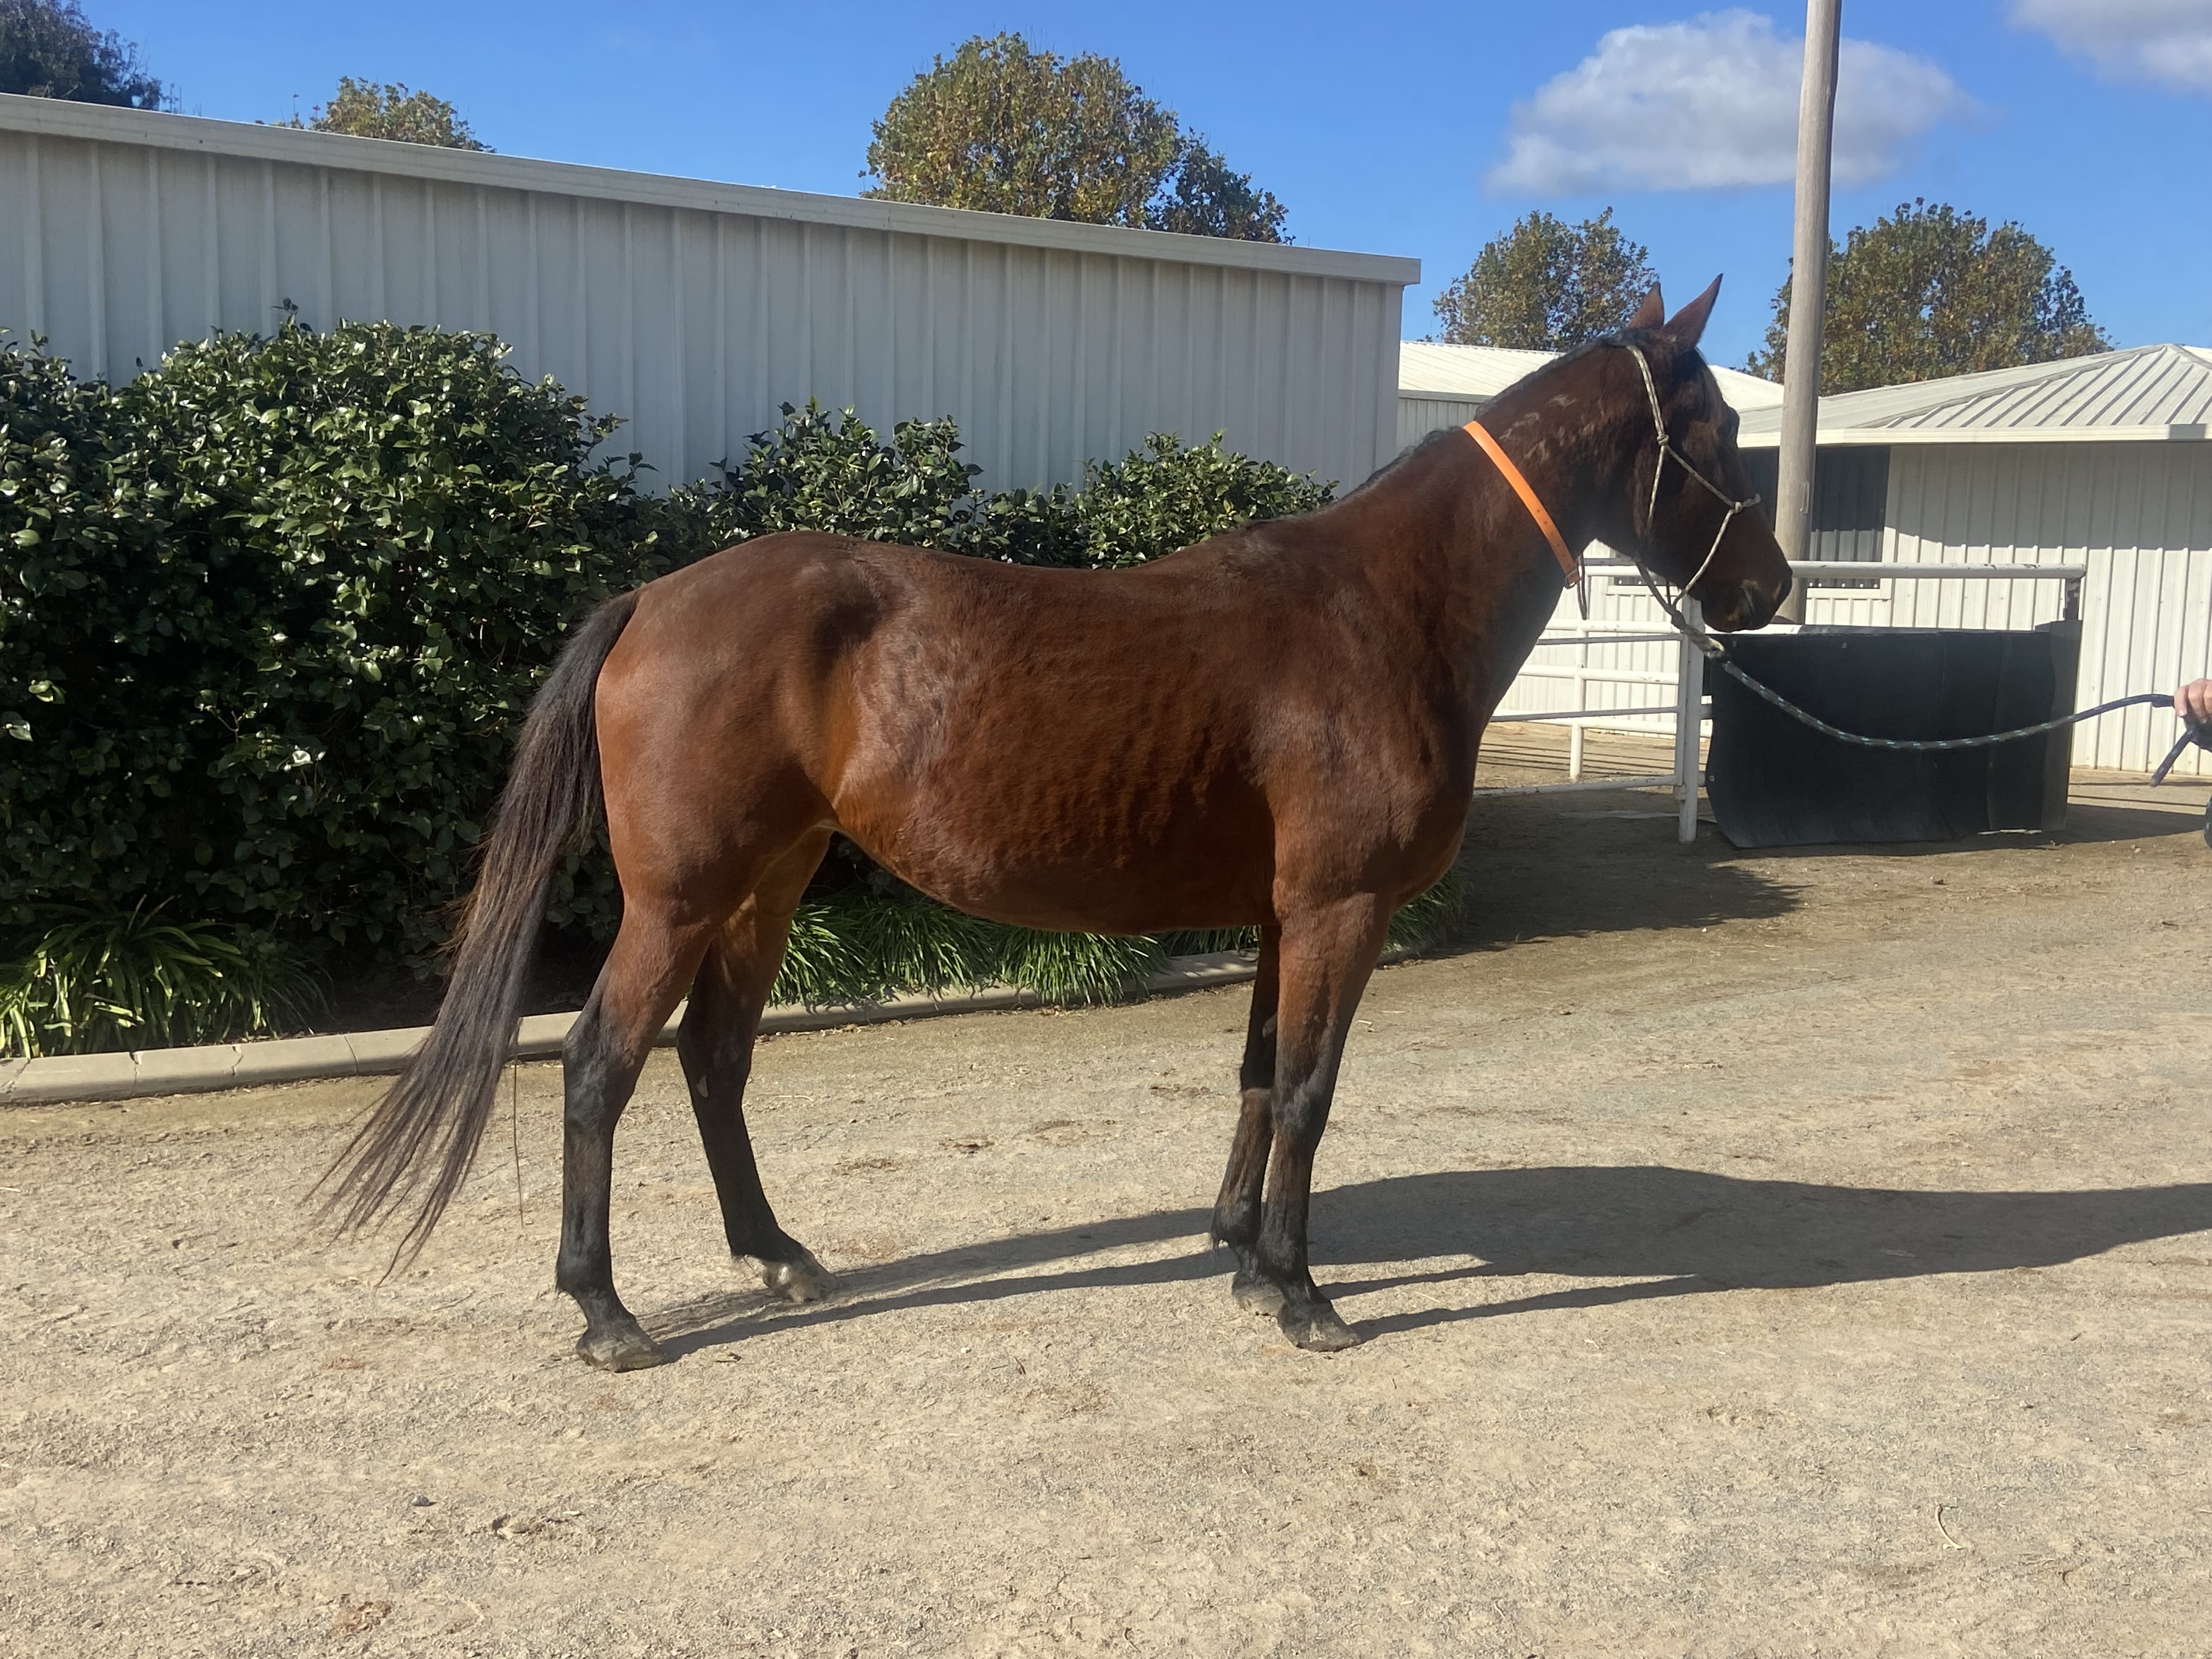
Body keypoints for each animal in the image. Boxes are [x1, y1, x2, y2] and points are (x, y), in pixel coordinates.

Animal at [323, 279, 1791, 1367]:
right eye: (1719, 434)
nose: (1772, 588)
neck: (1380, 611)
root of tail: (654, 599)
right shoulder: (1341, 908)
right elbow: (1310, 1091)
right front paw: (1304, 1294)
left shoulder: (1282, 914)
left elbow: (1260, 1074)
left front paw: (1244, 1260)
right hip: (681, 899)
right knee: (600, 1066)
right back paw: (607, 1312)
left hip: (766, 884)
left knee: (713, 1062)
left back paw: (780, 1258)